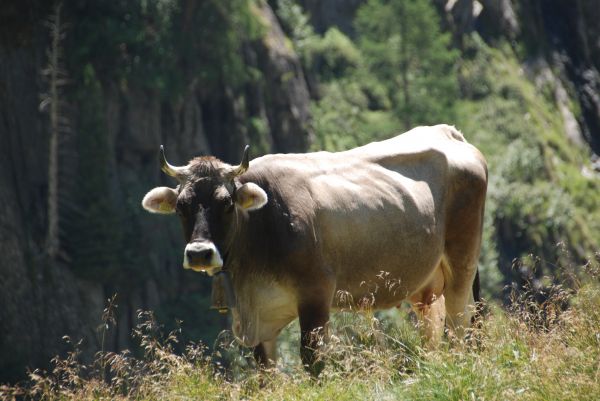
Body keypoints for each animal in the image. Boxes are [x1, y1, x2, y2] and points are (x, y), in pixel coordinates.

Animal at [143, 124, 490, 376]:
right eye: (181, 206)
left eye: (226, 203)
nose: (199, 253)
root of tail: (449, 133)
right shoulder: (261, 318)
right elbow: (266, 370)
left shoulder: (316, 293)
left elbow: (313, 360)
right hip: (426, 284)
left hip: (462, 262)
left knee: (461, 324)